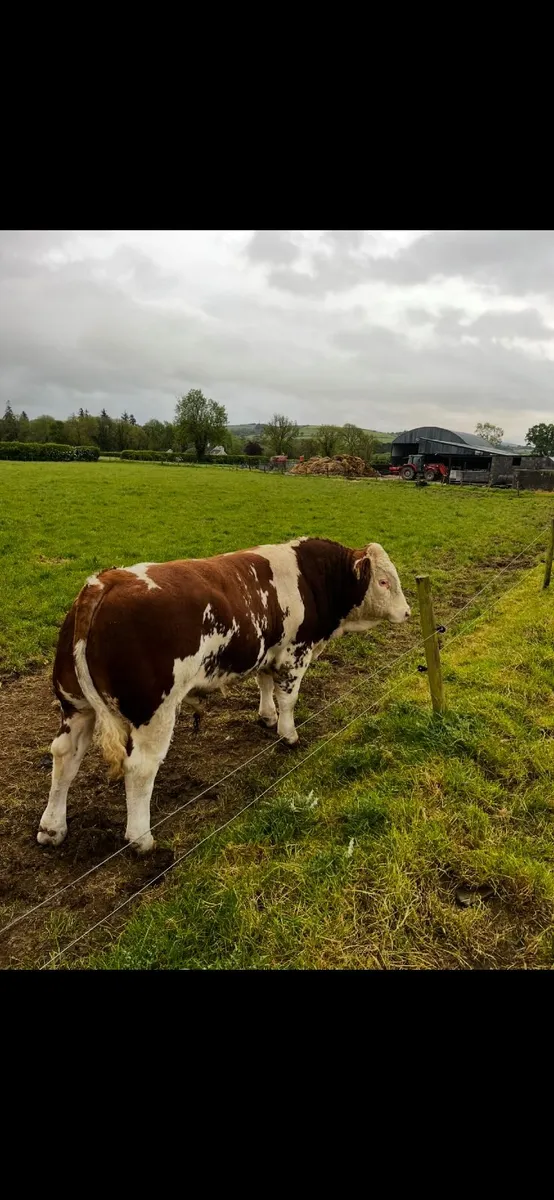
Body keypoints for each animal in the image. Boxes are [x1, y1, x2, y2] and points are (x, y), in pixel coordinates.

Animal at [37, 538, 410, 855]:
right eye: (383, 582)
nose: (407, 612)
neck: (312, 576)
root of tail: (105, 582)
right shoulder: (295, 654)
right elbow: (288, 698)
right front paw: (288, 734)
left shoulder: (268, 652)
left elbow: (265, 684)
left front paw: (267, 716)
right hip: (155, 712)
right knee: (140, 769)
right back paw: (142, 839)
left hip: (75, 704)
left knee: (64, 755)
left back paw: (52, 828)